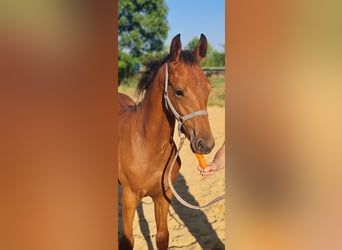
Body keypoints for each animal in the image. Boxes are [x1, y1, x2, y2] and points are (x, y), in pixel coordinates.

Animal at [117, 33, 214, 250]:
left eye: (208, 88)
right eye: (178, 91)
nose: (206, 144)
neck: (148, 147)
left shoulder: (163, 196)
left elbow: (162, 237)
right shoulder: (128, 197)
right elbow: (127, 240)